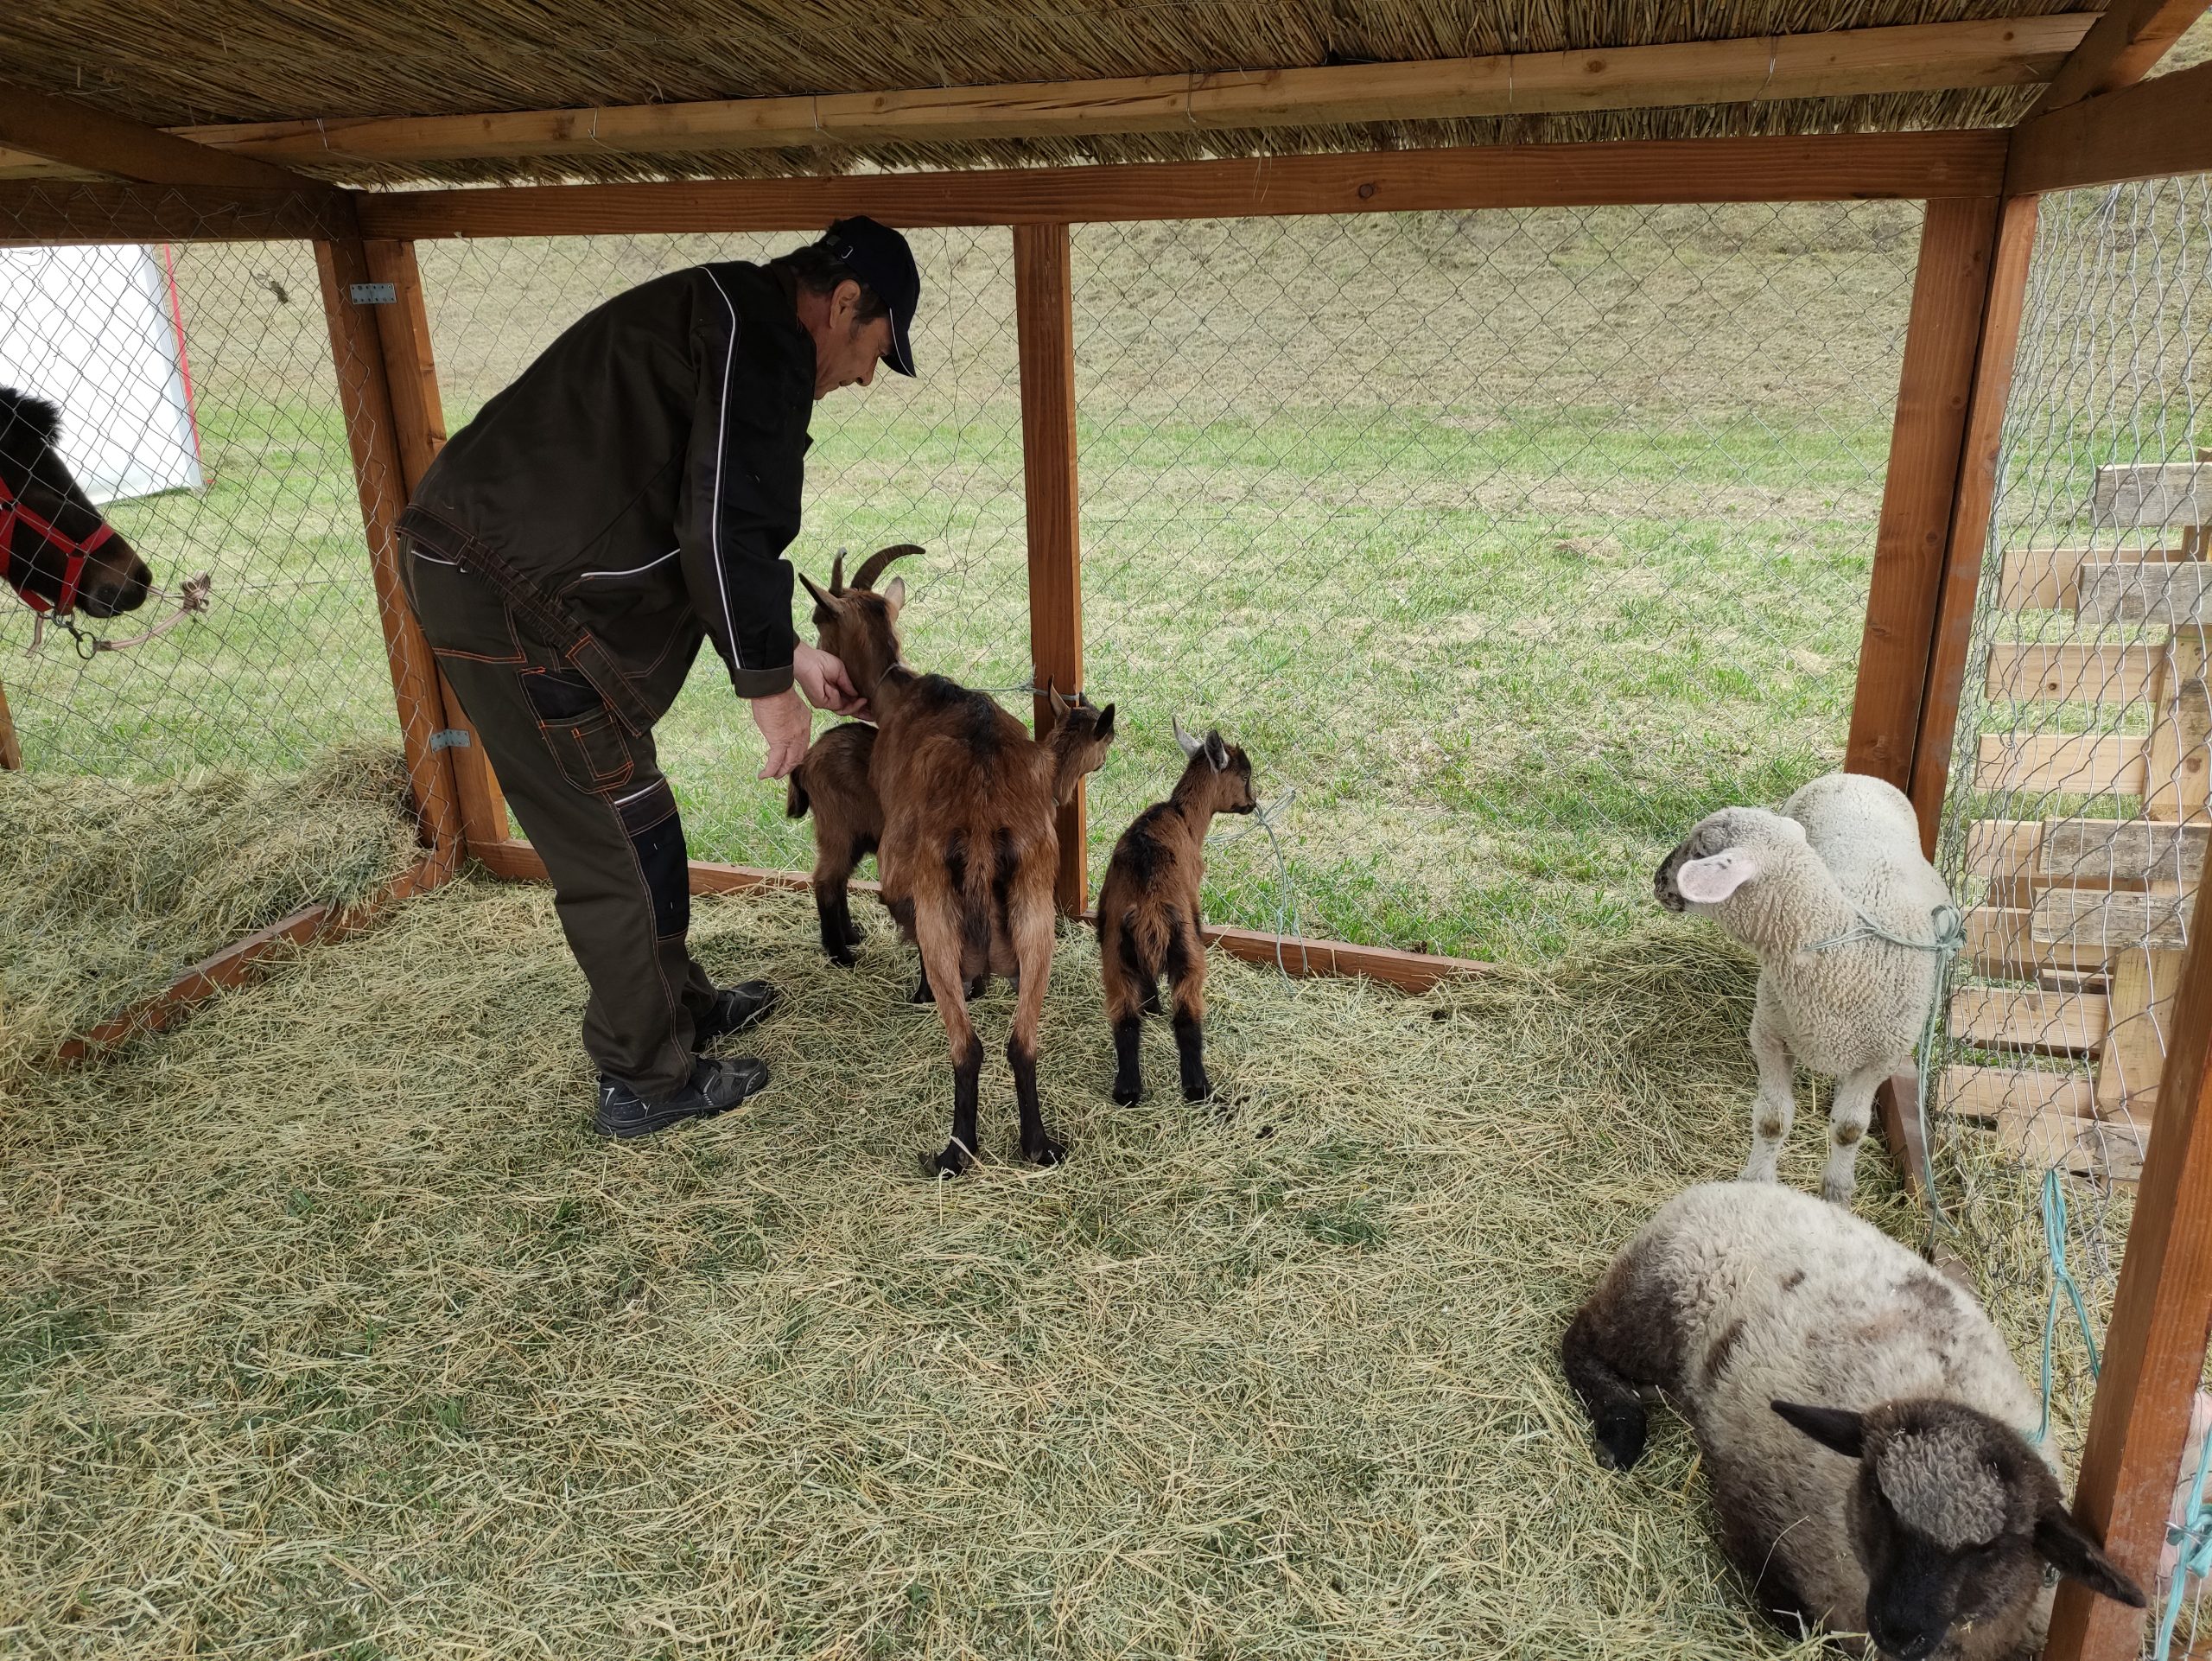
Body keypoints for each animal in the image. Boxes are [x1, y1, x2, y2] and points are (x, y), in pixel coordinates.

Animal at [796, 548, 1079, 1185]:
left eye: (818, 620)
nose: (827, 685)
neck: (910, 695)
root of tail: (982, 828)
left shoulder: (901, 874)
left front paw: (920, 990)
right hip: (1037, 921)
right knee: (1022, 1042)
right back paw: (1039, 1146)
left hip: (940, 916)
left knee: (967, 1046)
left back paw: (954, 1153)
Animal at [1557, 1185, 2141, 1661]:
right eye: (1880, 1499)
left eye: (1993, 1548)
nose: (1899, 1629)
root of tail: (1727, 1186)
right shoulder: (1761, 1528)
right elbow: (1791, 1614)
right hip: (1655, 1301)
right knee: (1580, 1340)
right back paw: (1621, 1428)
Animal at [1663, 765, 1955, 1212]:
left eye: (1701, 850)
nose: (1659, 879)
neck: (1843, 956)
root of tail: (1858, 777)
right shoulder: (1768, 1034)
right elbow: (1772, 1121)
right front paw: (1757, 1184)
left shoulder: (1883, 1057)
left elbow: (1849, 1130)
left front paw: (1836, 1195)